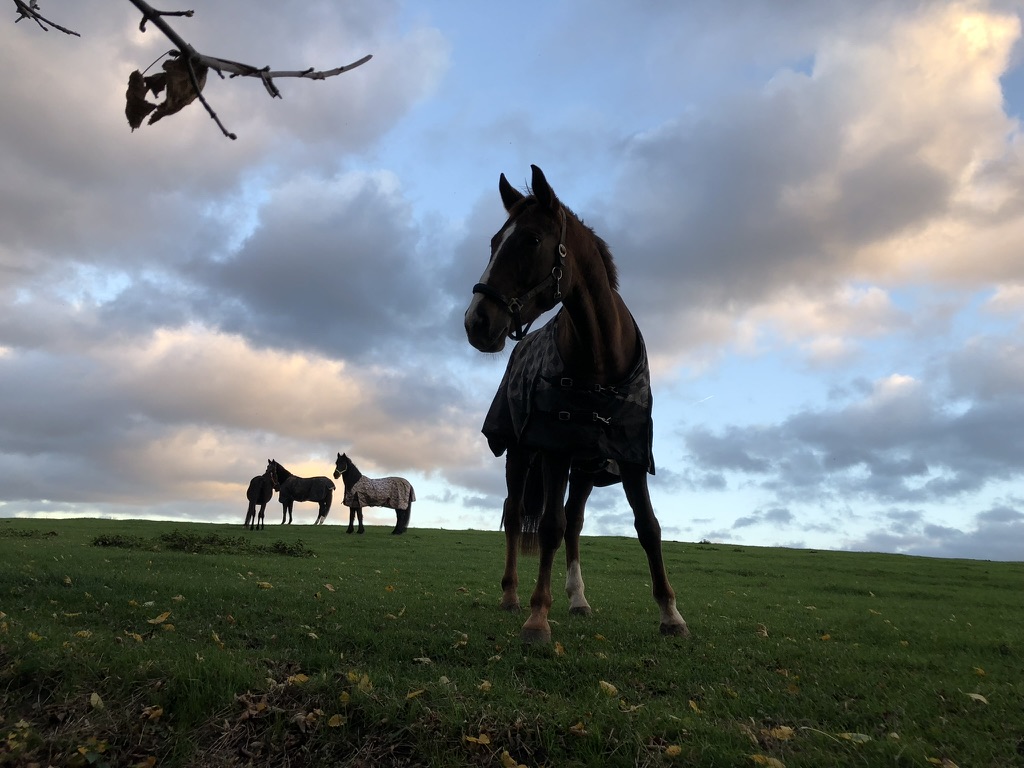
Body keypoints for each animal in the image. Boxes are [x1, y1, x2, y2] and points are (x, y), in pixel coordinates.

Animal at [463, 164, 689, 644]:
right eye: (494, 242)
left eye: (531, 239)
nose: (476, 321)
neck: (602, 358)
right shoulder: (556, 448)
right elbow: (547, 526)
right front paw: (537, 617)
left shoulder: (629, 454)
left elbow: (648, 527)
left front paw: (670, 614)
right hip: (520, 454)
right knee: (517, 516)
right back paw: (512, 595)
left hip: (585, 470)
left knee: (574, 521)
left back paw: (578, 598)